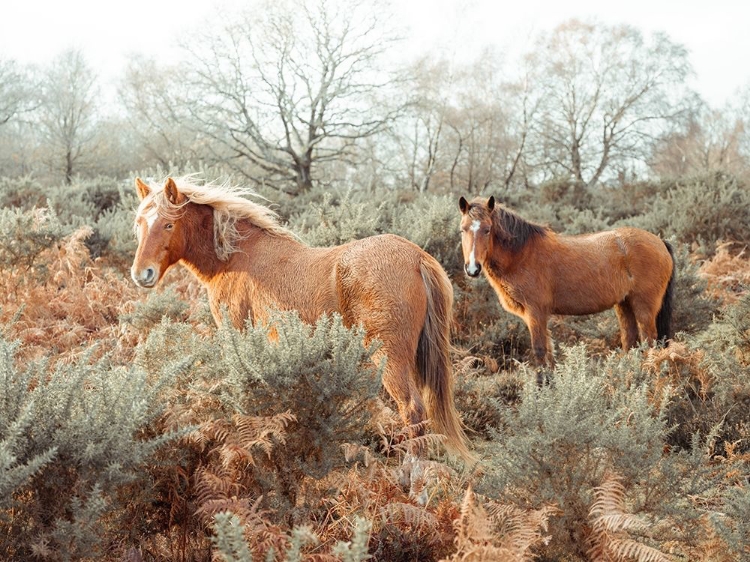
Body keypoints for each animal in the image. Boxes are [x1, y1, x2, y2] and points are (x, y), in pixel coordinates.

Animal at [129, 177, 470, 458]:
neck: (236, 257)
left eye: (168, 225)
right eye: (139, 224)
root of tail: (417, 257)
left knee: (412, 410)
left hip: (390, 357)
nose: (141, 274)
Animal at [458, 195, 676, 366]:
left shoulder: (535, 313)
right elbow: (548, 353)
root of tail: (660, 241)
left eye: (487, 229)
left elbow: (539, 351)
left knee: (650, 342)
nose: (472, 268)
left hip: (644, 308)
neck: (522, 254)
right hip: (624, 305)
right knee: (630, 341)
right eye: (462, 230)